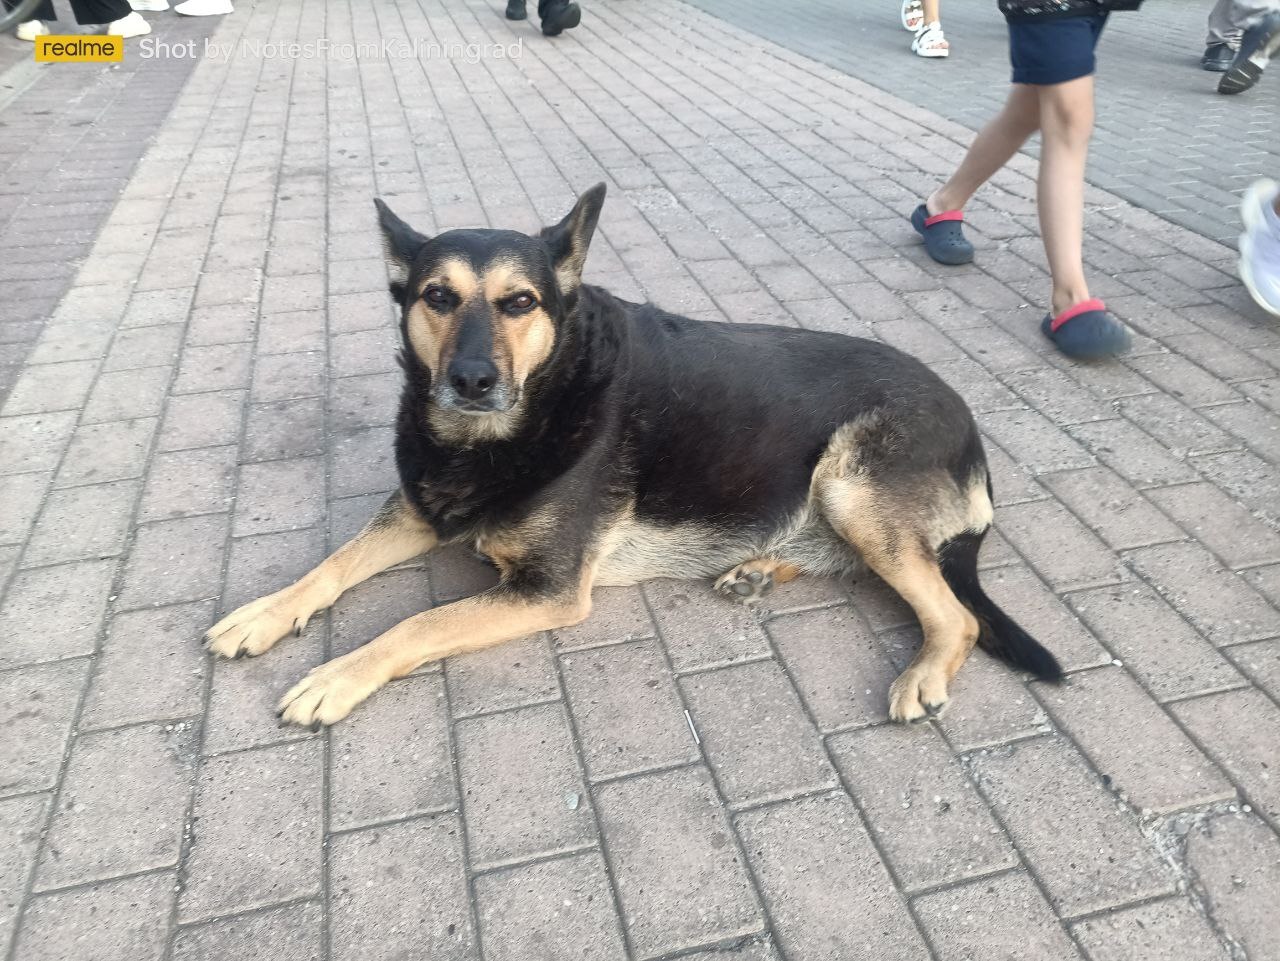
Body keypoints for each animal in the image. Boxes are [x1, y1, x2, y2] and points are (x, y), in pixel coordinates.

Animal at [204, 185, 1064, 726]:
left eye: (520, 302)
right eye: (436, 297)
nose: (473, 380)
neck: (522, 419)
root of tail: (970, 425)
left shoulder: (548, 590)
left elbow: (415, 623)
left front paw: (335, 675)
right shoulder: (417, 511)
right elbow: (330, 565)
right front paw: (264, 612)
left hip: (850, 485)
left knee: (956, 616)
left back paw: (921, 673)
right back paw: (757, 567)